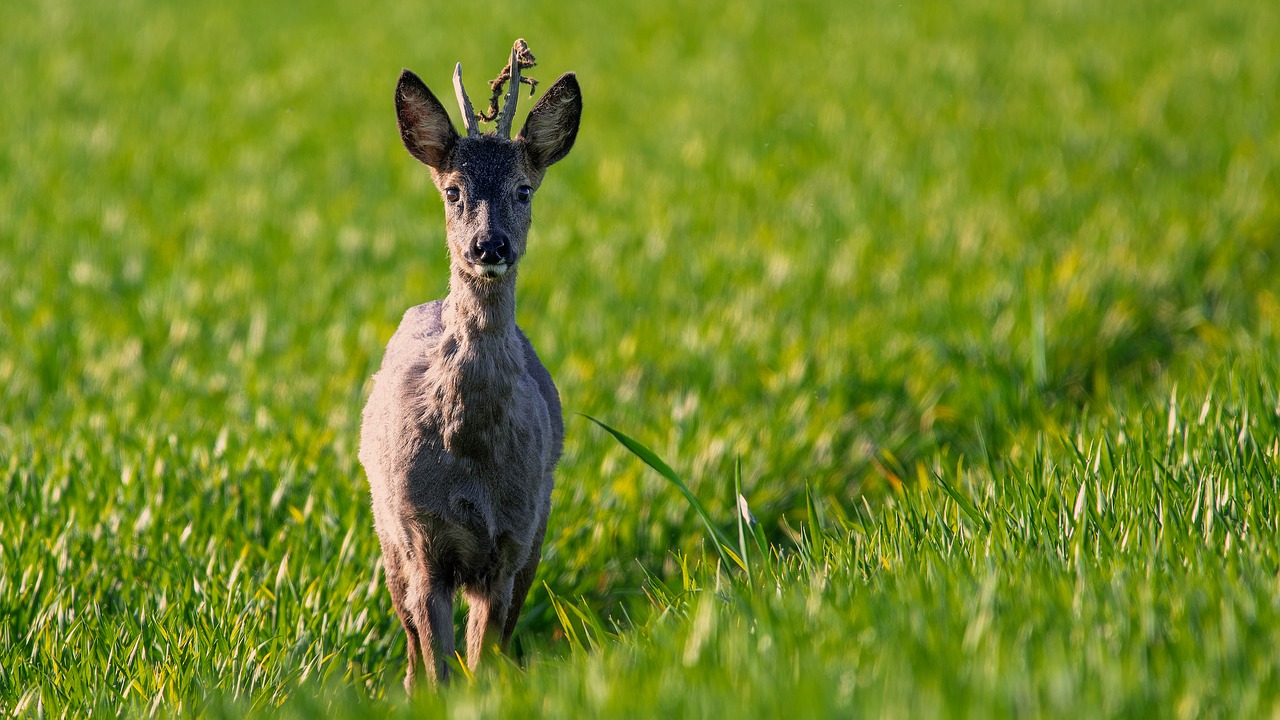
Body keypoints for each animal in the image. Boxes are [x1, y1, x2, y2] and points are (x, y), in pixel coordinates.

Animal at [358, 41, 583, 686]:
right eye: (453, 190)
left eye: (524, 189)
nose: (489, 246)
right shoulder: (419, 541)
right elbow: (437, 667)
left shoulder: (510, 543)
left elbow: (484, 661)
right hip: (386, 533)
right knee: (411, 648)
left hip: (540, 525)